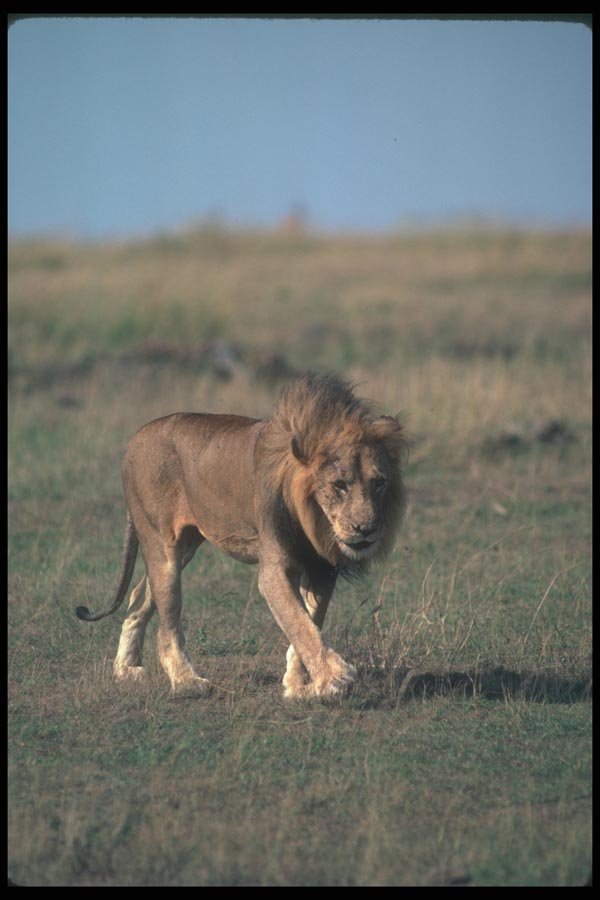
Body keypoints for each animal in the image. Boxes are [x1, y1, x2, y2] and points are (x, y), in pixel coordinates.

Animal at [76, 372, 407, 699]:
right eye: (340, 484)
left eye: (379, 482)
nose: (366, 530)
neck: (315, 520)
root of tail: (134, 439)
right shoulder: (274, 569)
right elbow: (300, 623)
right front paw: (334, 679)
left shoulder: (323, 569)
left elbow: (310, 621)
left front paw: (298, 684)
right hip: (162, 546)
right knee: (167, 626)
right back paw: (186, 682)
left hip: (185, 547)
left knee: (138, 596)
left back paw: (125, 669)